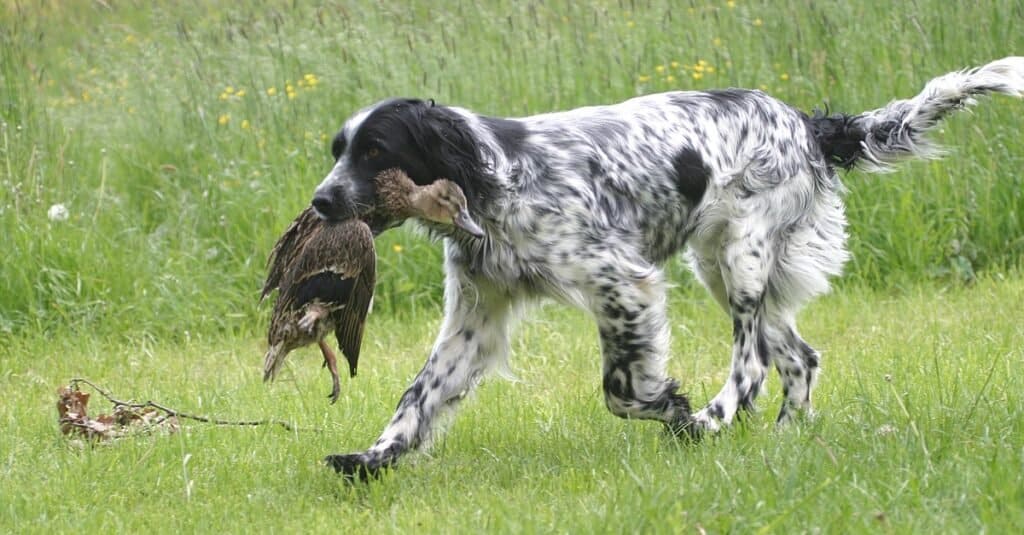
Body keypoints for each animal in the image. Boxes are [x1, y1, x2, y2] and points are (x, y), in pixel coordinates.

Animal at [309, 56, 1024, 477]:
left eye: (375, 151)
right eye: (340, 150)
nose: (320, 202)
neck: (498, 177)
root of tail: (805, 123)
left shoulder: (621, 282)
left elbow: (621, 389)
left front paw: (674, 408)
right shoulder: (476, 316)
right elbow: (418, 394)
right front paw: (375, 456)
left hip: (740, 260)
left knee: (753, 363)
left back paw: (714, 416)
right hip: (724, 268)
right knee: (799, 357)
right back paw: (785, 439)